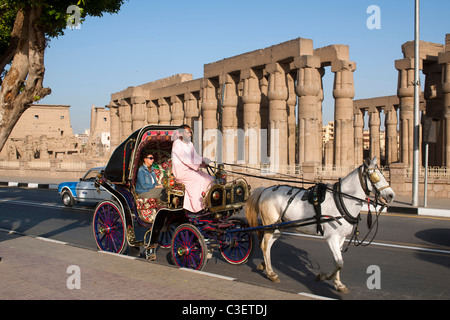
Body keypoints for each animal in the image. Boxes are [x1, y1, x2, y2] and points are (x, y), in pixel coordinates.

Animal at [244, 157, 396, 292]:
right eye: (375, 176)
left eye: (382, 174)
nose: (391, 195)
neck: (341, 199)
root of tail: (264, 190)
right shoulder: (331, 237)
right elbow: (340, 263)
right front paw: (323, 277)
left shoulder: (341, 238)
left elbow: (337, 260)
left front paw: (338, 284)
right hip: (271, 225)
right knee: (264, 246)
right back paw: (271, 273)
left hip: (278, 227)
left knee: (267, 246)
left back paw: (266, 267)